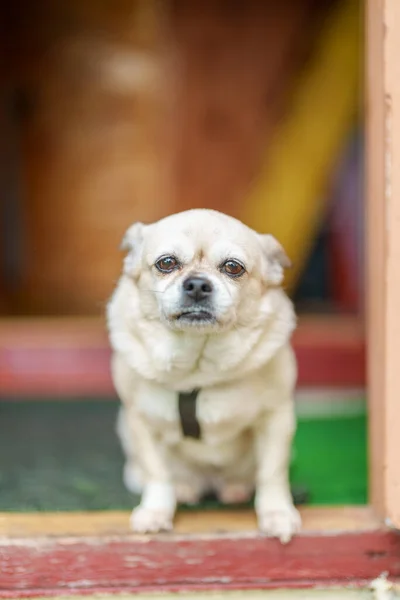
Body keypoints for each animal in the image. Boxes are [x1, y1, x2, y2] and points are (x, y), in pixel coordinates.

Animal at [106, 210, 300, 544]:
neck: (197, 369)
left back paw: (236, 488)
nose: (197, 284)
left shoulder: (276, 418)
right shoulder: (142, 422)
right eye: (166, 263)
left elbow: (272, 473)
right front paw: (156, 511)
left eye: (233, 267)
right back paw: (180, 488)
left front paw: (277, 514)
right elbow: (157, 473)